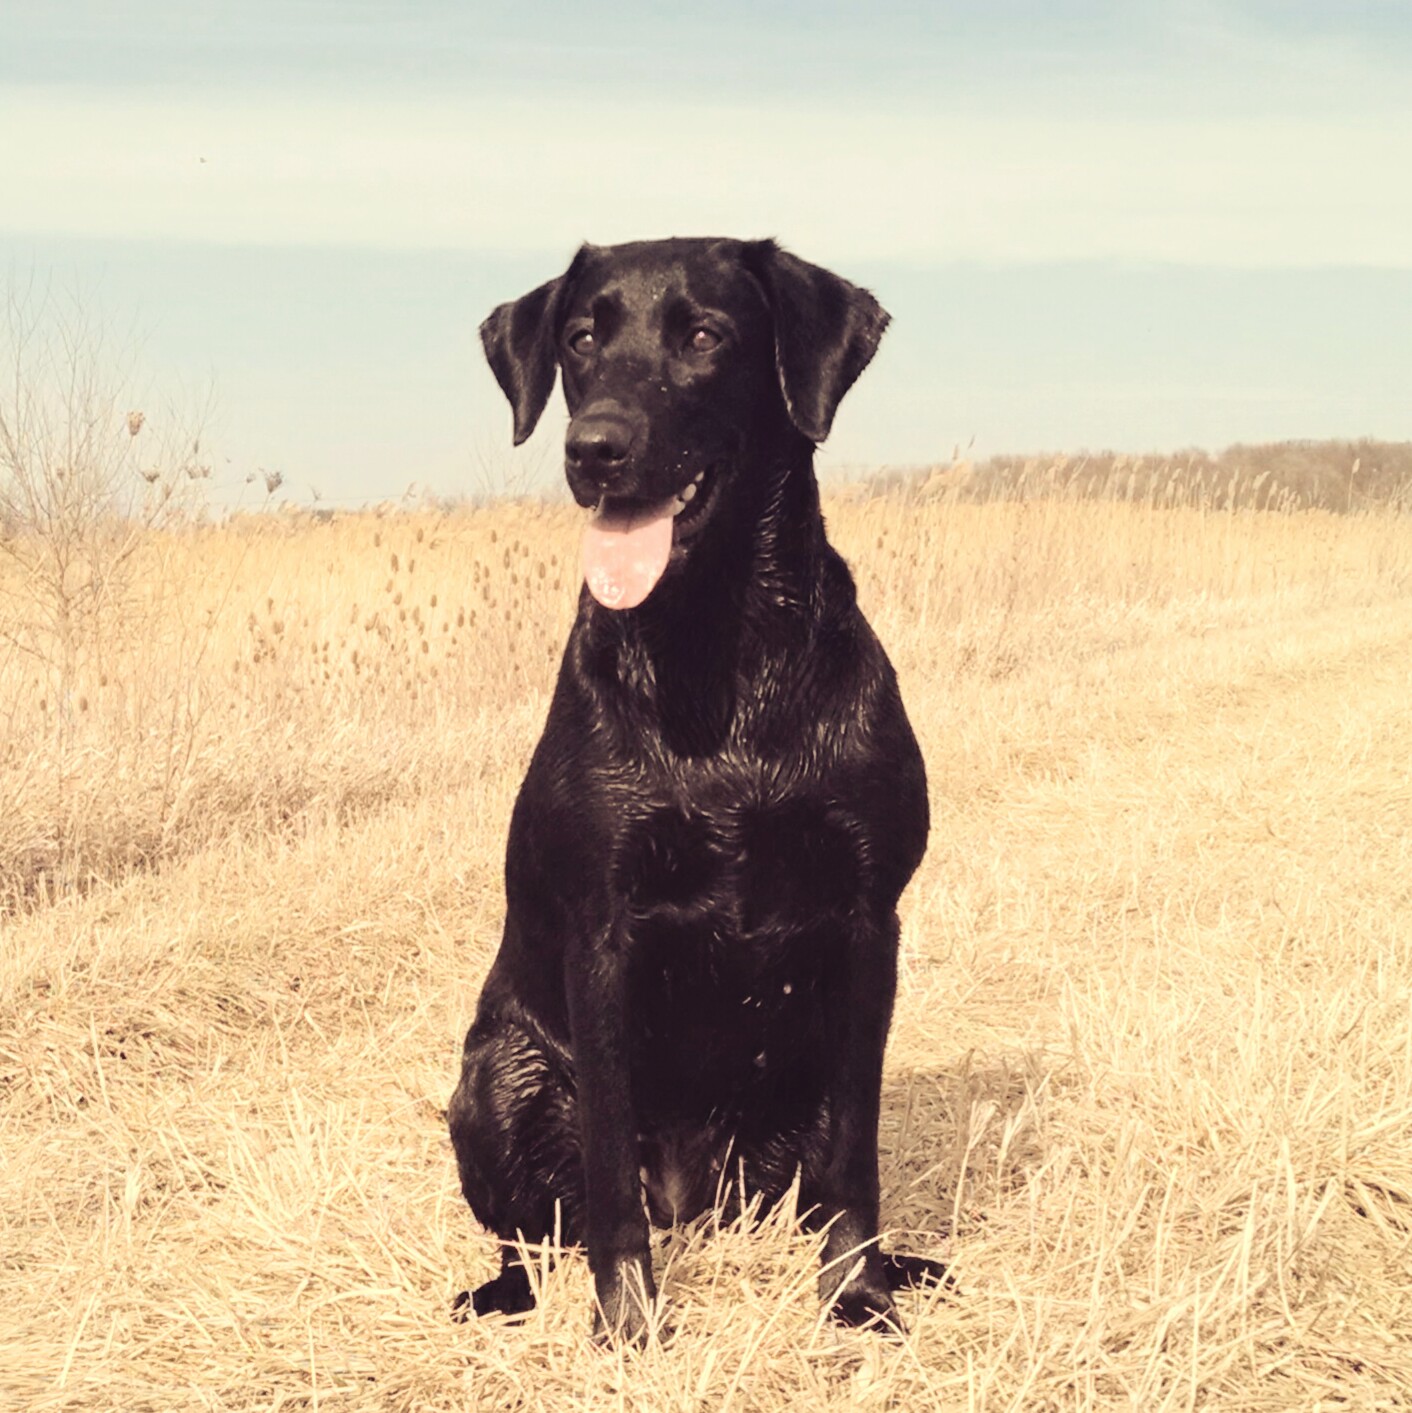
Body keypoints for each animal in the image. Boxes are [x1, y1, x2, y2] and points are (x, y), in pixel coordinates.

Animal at [446, 237, 944, 1339]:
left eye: (706, 336)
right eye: (581, 338)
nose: (593, 448)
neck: (720, 649)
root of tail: (698, 1204)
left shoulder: (867, 920)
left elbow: (854, 1159)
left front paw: (859, 1294)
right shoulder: (602, 927)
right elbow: (607, 1178)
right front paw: (628, 1325)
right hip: (499, 1075)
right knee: (526, 1235)